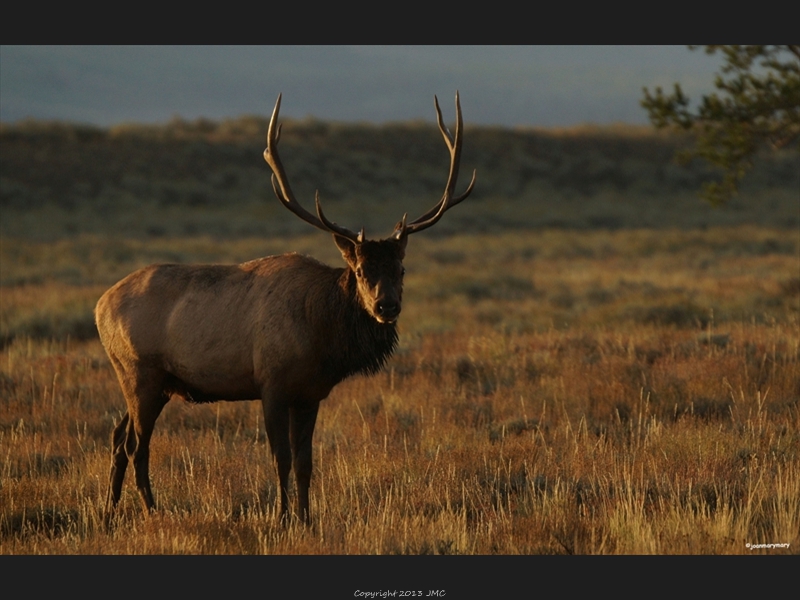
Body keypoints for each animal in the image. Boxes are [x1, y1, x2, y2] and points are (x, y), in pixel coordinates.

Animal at [97, 91, 478, 524]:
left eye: (401, 268)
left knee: (118, 435)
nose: (387, 306)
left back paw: (108, 512)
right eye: (360, 270)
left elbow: (304, 462)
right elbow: (280, 458)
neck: (321, 339)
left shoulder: (310, 394)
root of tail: (99, 305)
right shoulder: (272, 383)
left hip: (154, 383)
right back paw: (153, 510)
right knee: (136, 445)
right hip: (138, 371)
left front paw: (307, 518)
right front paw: (280, 518)